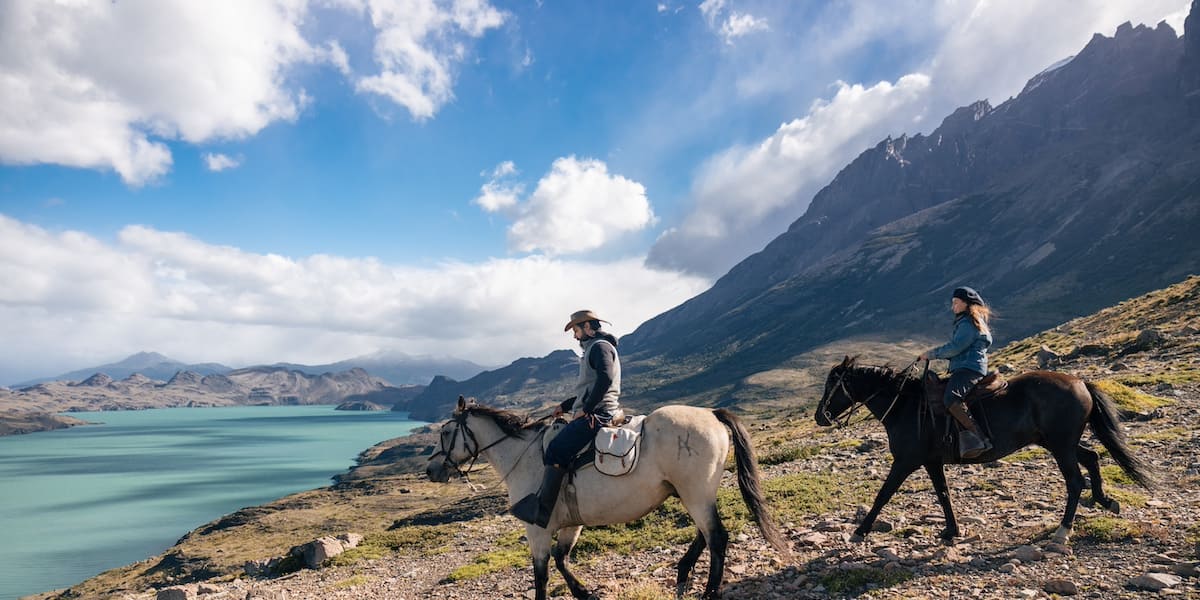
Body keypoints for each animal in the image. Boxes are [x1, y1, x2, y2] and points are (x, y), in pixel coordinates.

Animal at [427, 396, 792, 597]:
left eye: (445, 432)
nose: (431, 470)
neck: (523, 455)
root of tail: (711, 413)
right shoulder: (571, 524)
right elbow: (562, 560)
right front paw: (585, 594)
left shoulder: (537, 529)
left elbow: (542, 575)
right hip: (692, 494)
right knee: (705, 534)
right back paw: (682, 573)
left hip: (695, 493)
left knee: (716, 536)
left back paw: (708, 591)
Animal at [816, 357, 1152, 547]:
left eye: (833, 385)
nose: (820, 416)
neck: (905, 406)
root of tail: (1080, 382)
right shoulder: (931, 462)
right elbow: (943, 495)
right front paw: (951, 531)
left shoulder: (906, 462)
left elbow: (883, 495)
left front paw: (860, 531)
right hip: (1059, 443)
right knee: (1092, 458)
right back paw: (1105, 501)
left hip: (1060, 446)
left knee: (1074, 481)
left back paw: (1063, 531)